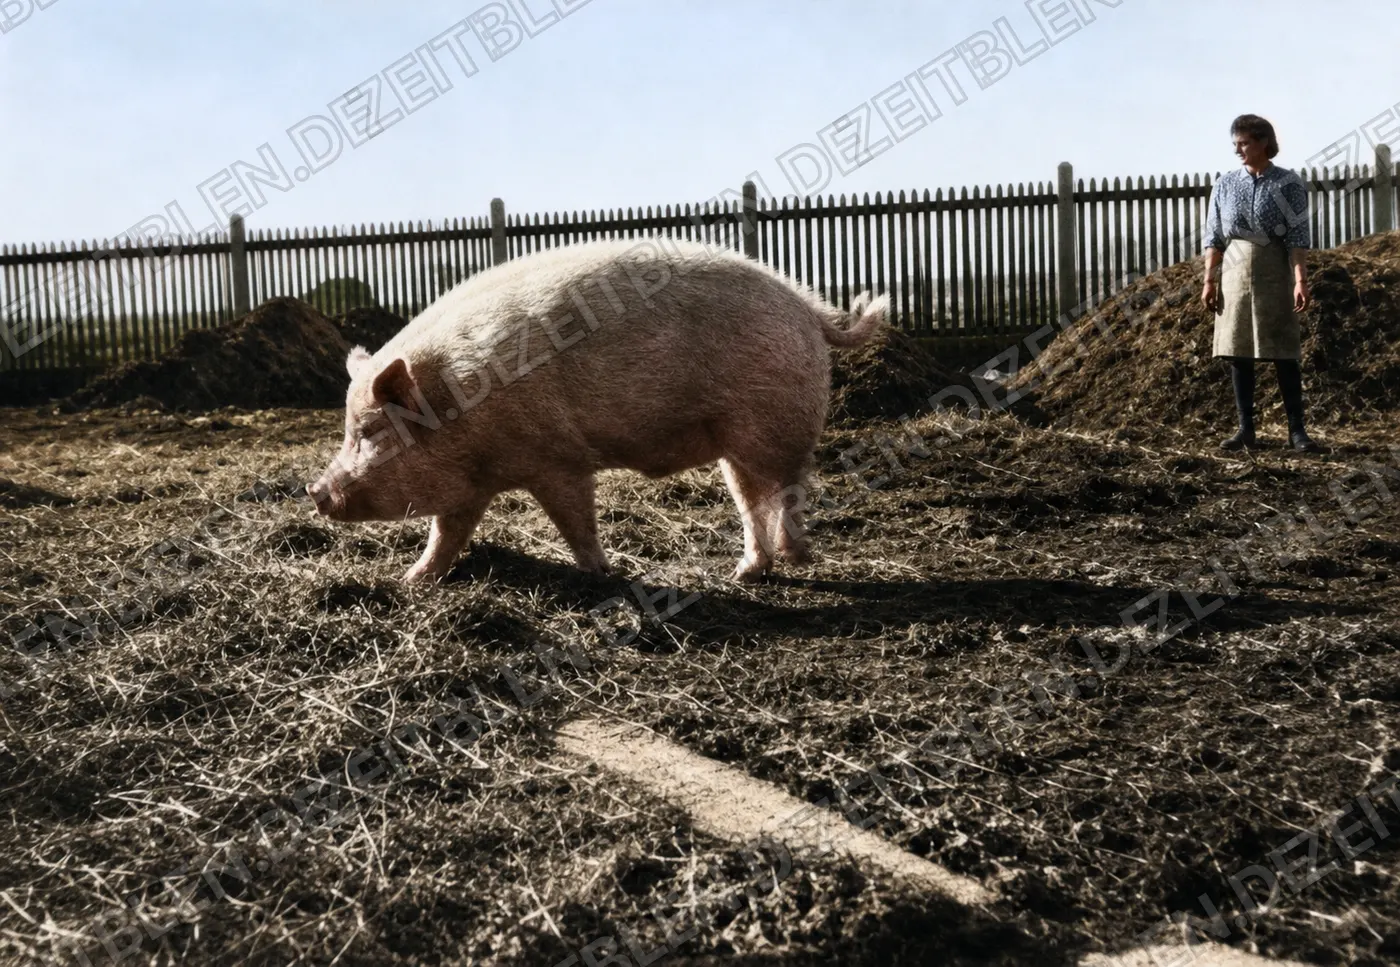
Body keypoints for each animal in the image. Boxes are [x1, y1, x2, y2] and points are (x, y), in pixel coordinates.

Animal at [307, 237, 888, 583]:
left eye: (369, 430)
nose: (314, 490)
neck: (461, 405)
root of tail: (809, 308)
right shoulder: (472, 483)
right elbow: (445, 533)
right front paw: (412, 581)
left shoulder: (557, 458)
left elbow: (575, 521)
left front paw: (599, 574)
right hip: (737, 445)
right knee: (752, 503)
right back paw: (746, 573)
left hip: (779, 422)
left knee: (790, 488)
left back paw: (793, 557)